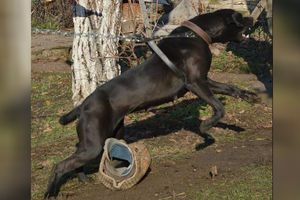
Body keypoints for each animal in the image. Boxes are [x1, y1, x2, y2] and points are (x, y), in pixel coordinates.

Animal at [44, 9, 258, 197]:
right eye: (239, 17)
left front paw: (249, 96)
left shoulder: (205, 80)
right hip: (94, 143)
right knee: (59, 165)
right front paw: (205, 128)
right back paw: (50, 192)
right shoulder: (196, 83)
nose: (252, 19)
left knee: (75, 155)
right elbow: (219, 108)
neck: (195, 35)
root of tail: (83, 105)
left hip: (110, 134)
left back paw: (82, 178)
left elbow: (231, 89)